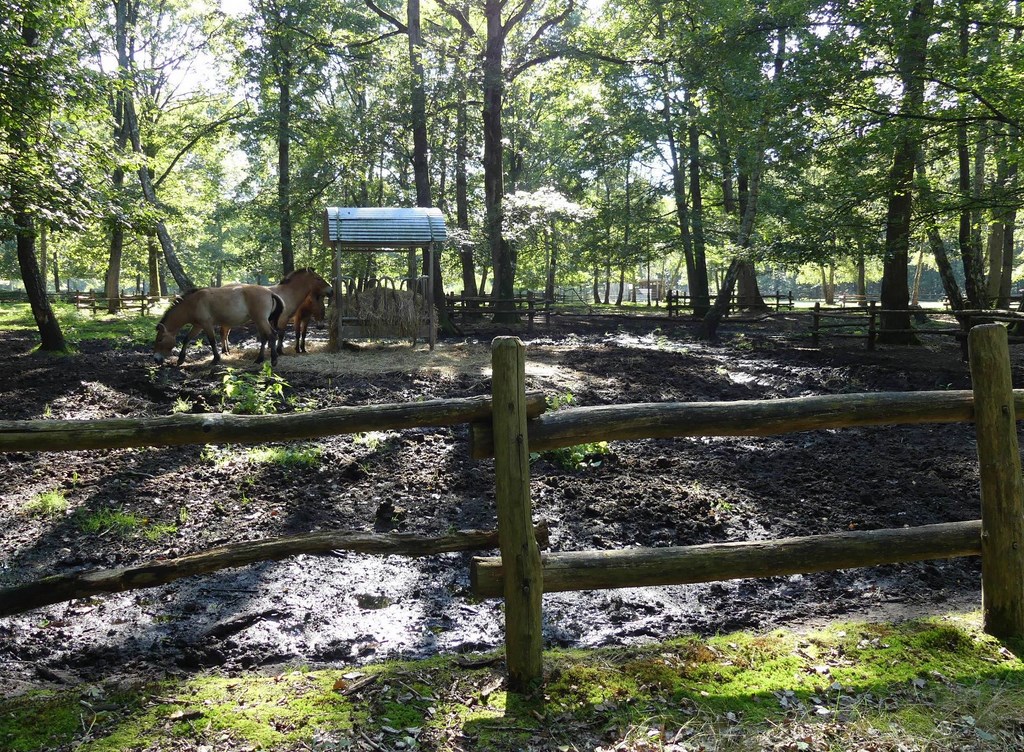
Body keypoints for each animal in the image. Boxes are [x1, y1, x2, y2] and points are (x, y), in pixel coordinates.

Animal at [153, 285, 284, 367]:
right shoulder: (198, 326)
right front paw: (180, 359)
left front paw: (215, 359)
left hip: (261, 320)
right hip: (259, 321)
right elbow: (187, 339)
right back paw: (259, 359)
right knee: (264, 338)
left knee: (272, 335)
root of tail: (270, 292)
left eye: (160, 340)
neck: (193, 303)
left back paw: (274, 360)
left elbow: (212, 341)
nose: (156, 359)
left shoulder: (206, 325)